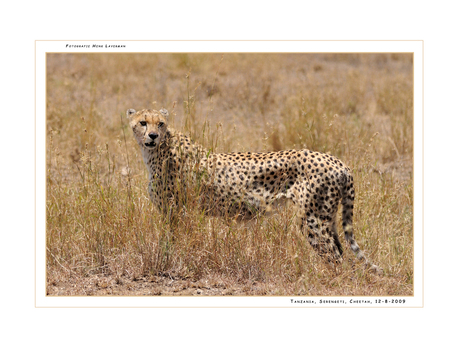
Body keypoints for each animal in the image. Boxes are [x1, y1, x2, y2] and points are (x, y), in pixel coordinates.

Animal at [127, 107, 382, 272]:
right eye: (143, 122)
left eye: (160, 123)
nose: (153, 135)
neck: (157, 149)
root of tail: (338, 161)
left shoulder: (176, 211)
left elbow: (172, 241)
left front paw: (170, 259)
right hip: (327, 217)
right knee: (339, 252)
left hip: (313, 219)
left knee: (335, 257)